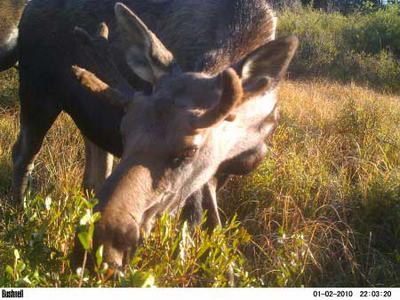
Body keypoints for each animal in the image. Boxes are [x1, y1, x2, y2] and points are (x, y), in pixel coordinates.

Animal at [11, 0, 296, 268]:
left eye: (189, 151)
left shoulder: (220, 171)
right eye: (124, 131)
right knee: (22, 154)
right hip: (37, 92)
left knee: (93, 175)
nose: (96, 246)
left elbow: (212, 231)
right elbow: (191, 231)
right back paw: (19, 218)